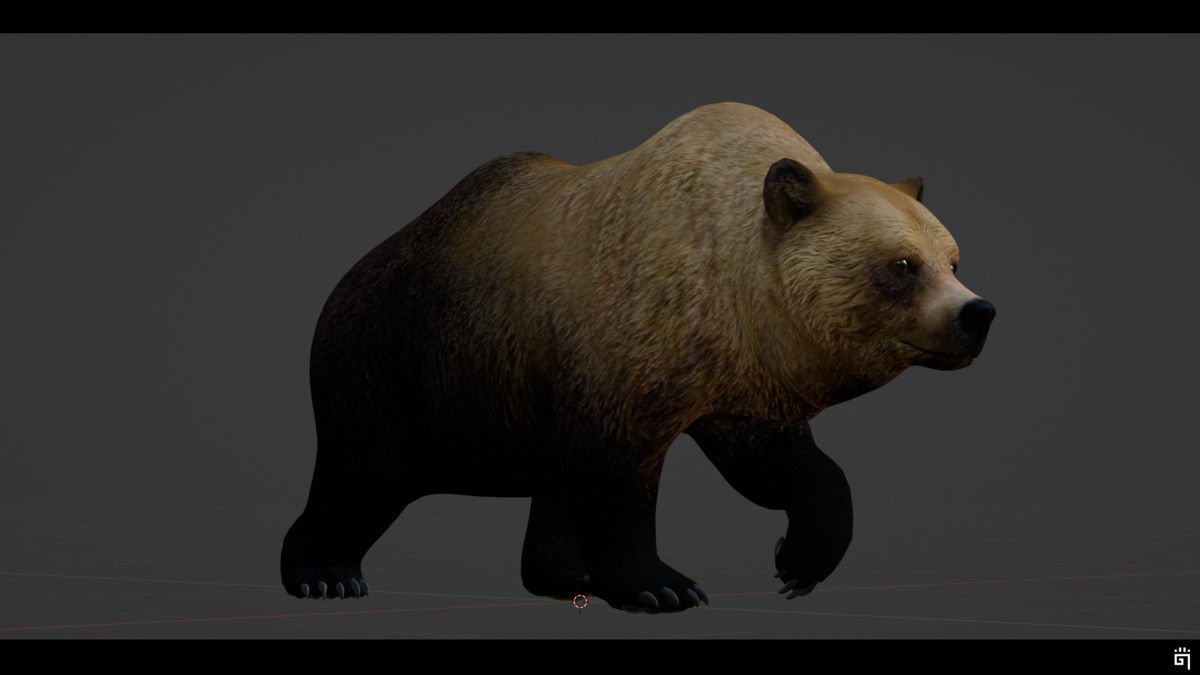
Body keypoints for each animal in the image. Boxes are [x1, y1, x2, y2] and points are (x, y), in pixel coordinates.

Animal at [280, 102, 996, 613]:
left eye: (953, 260)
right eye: (901, 266)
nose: (977, 313)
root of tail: (350, 275)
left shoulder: (732, 374)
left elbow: (783, 462)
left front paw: (797, 560)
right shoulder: (627, 338)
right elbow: (616, 470)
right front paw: (661, 584)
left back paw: (565, 571)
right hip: (403, 360)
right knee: (360, 473)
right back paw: (323, 572)